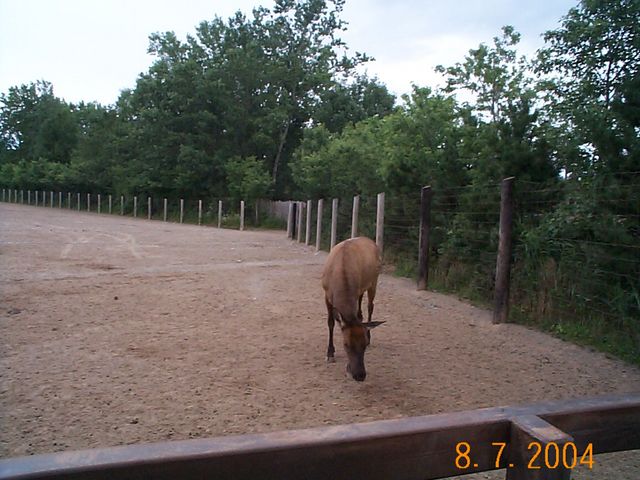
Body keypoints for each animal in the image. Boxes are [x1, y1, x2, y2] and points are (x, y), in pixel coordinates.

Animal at [321, 236, 385, 381]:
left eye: (364, 344)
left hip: (374, 280)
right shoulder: (326, 295)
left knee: (370, 306)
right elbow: (331, 322)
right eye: (346, 344)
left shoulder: (355, 292)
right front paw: (330, 353)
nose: (359, 375)